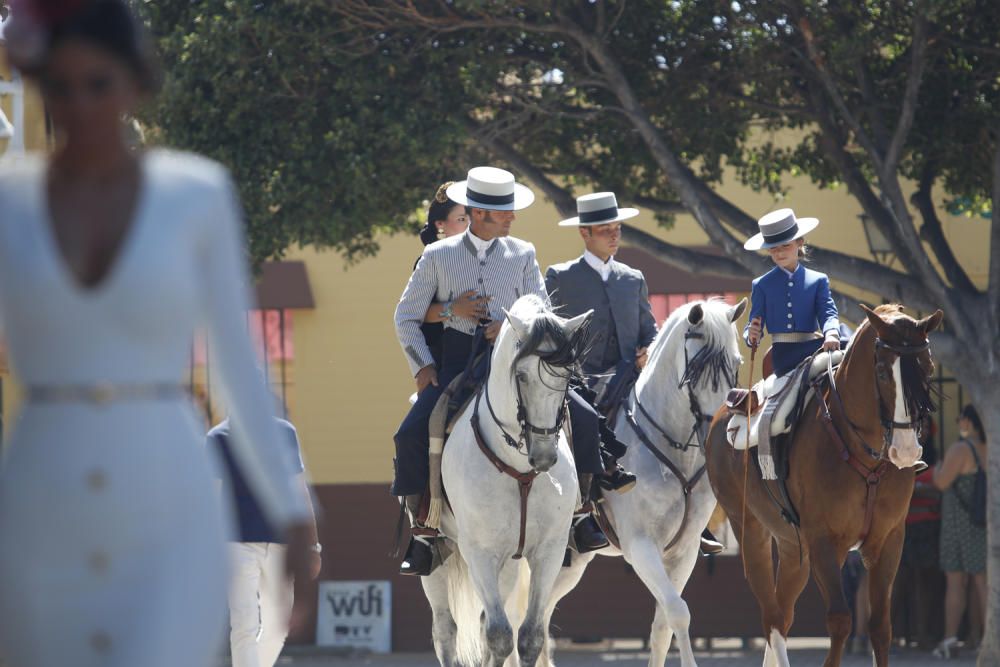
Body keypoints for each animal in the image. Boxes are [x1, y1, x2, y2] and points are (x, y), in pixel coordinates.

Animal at [422, 296, 592, 667]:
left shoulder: (548, 552)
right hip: (439, 555)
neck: (518, 470)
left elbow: (528, 637)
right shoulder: (479, 553)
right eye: (522, 375)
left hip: (510, 564)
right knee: (445, 630)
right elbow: (499, 636)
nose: (544, 456)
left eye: (567, 376)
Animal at [540, 300, 744, 667]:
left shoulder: (684, 551)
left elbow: (664, 625)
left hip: (568, 562)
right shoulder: (641, 546)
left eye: (736, 364)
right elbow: (678, 611)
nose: (720, 432)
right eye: (695, 370)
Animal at [708, 304, 940, 667]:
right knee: (772, 617)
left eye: (927, 368)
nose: (905, 451)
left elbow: (880, 627)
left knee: (783, 613)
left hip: (793, 548)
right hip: (750, 530)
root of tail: (724, 413)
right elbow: (841, 620)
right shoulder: (824, 542)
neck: (864, 454)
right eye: (882, 373)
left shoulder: (888, 541)